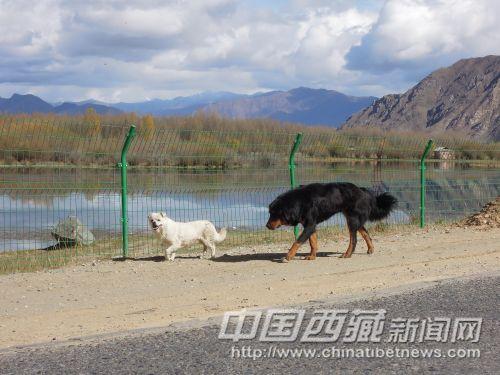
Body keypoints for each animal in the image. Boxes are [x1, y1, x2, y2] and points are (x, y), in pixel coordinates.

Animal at [268, 182, 396, 262]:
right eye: (270, 213)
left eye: (274, 214)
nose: (267, 225)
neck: (299, 201)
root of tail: (363, 191)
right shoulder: (311, 226)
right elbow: (313, 243)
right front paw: (312, 256)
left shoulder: (309, 226)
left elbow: (297, 242)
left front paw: (288, 256)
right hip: (354, 220)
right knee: (365, 233)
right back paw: (370, 249)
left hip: (352, 221)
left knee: (353, 240)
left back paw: (347, 254)